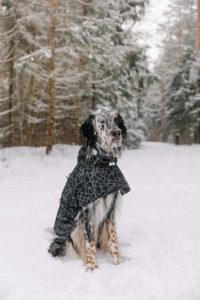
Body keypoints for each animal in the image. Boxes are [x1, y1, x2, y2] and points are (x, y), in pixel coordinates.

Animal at [48, 106, 130, 270]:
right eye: (102, 121)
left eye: (116, 120)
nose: (116, 133)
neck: (103, 164)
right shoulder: (88, 210)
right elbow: (89, 243)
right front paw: (92, 267)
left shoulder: (110, 209)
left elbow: (113, 238)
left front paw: (118, 262)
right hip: (72, 228)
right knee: (61, 248)